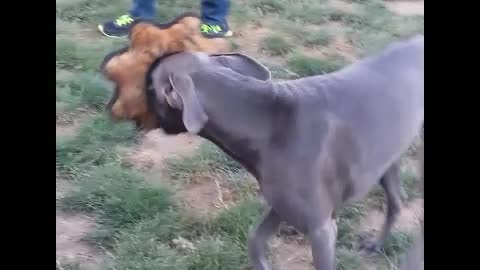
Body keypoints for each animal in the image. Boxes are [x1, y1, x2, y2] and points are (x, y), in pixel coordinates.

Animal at [108, 34, 424, 268]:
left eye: (148, 86)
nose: (117, 110)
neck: (265, 123)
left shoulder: (321, 229)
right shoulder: (282, 205)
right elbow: (255, 240)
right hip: (387, 156)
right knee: (397, 201)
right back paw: (378, 244)